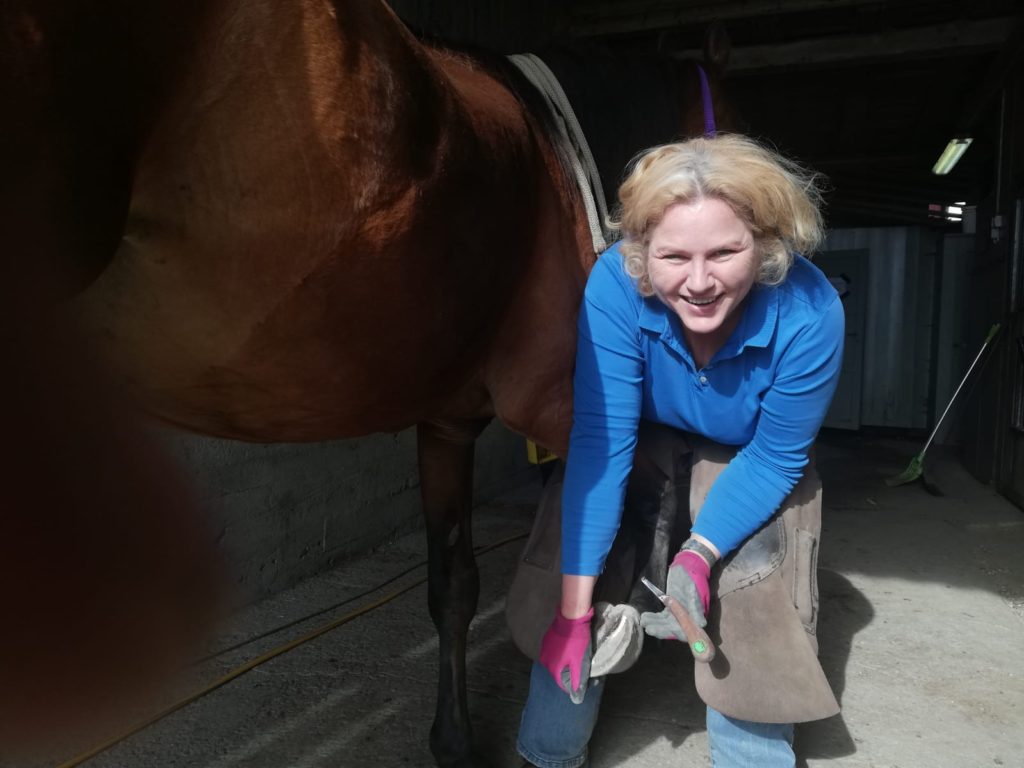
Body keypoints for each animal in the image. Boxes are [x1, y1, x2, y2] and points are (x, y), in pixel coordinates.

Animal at [1, 1, 734, 764]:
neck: (557, 162)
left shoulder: (445, 426)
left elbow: (455, 584)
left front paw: (455, 739)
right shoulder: (569, 407)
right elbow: (639, 508)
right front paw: (627, 625)